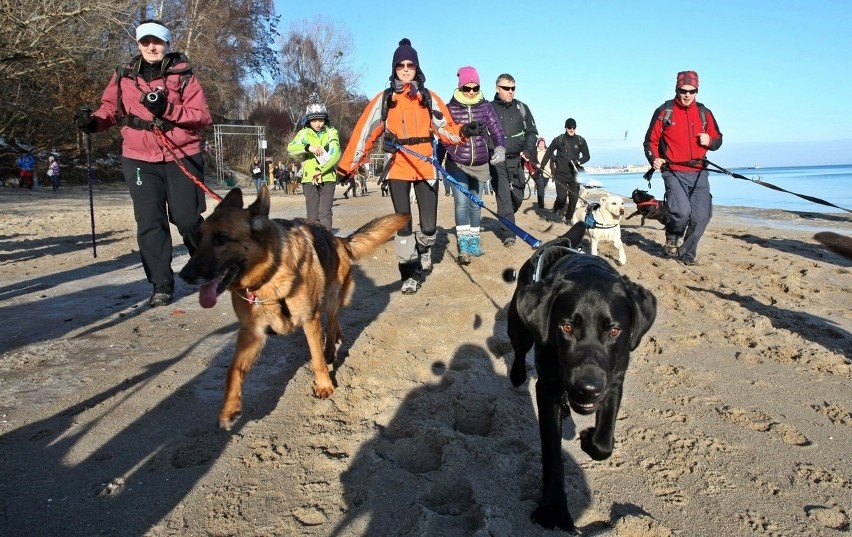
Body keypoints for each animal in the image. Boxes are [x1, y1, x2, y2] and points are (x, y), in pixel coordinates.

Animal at [180, 186, 410, 430]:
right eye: (198, 238)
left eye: (221, 239)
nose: (184, 275)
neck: (268, 275)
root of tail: (338, 239)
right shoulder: (251, 332)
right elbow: (233, 370)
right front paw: (229, 408)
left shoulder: (309, 319)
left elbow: (316, 359)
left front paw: (324, 385)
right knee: (335, 320)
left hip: (329, 299)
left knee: (332, 321)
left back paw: (330, 348)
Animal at [510, 222, 656, 532]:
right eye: (566, 327)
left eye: (614, 330)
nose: (587, 389)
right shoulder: (549, 387)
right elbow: (552, 453)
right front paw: (553, 508)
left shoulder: (613, 379)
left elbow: (605, 441)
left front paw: (591, 439)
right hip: (519, 322)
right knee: (518, 350)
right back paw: (517, 375)